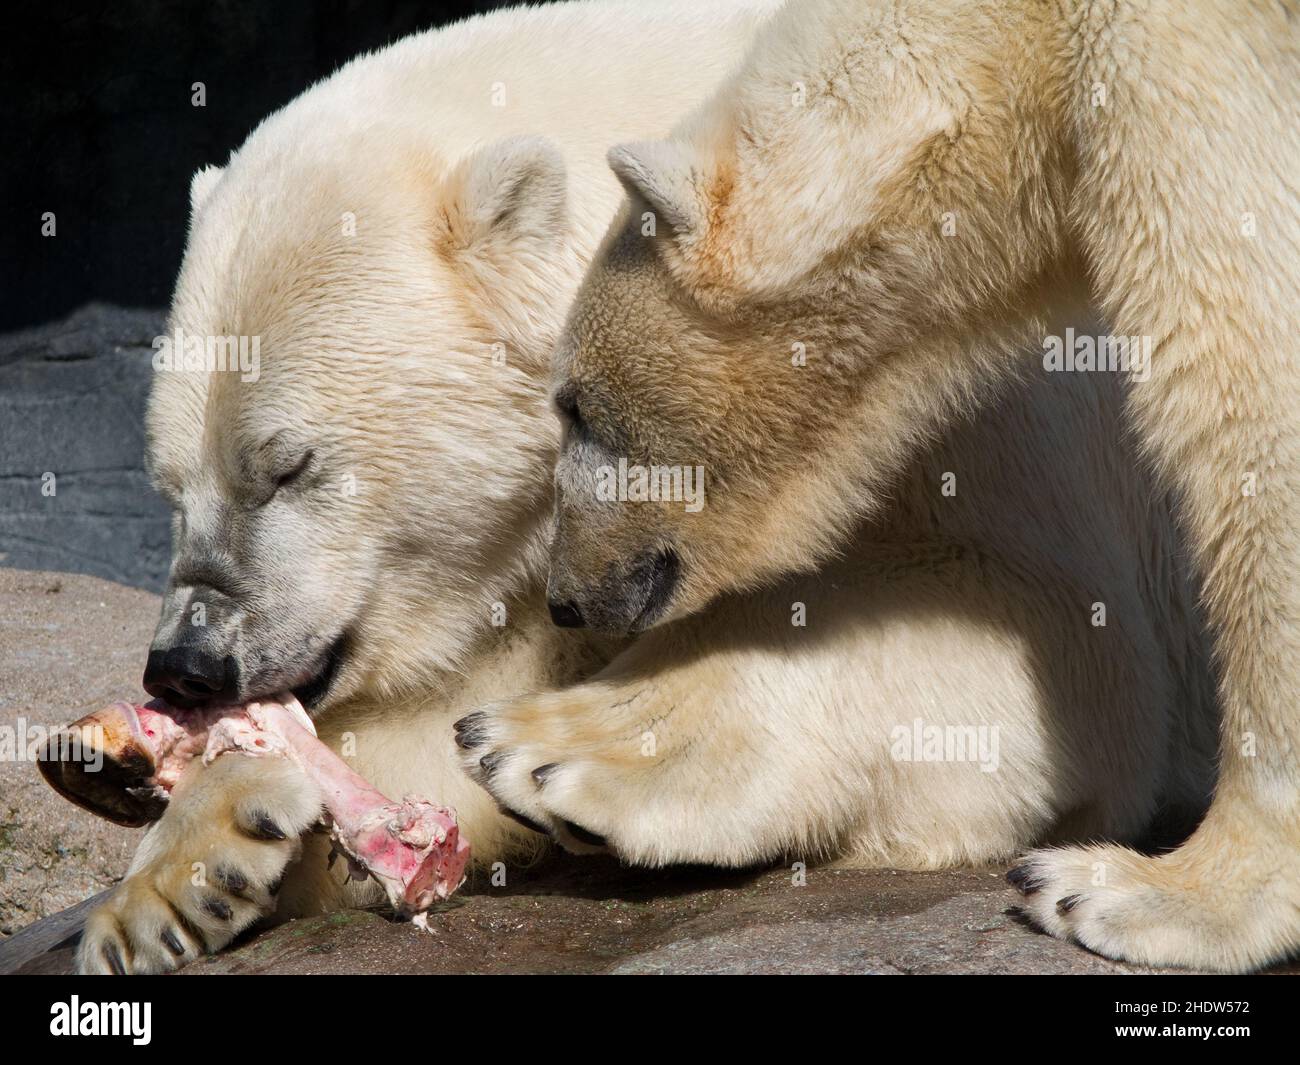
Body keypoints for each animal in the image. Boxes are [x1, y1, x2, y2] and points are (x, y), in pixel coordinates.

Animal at [466, 0, 1300, 972]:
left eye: (577, 406)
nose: (565, 597)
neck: (1027, 46)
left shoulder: (1181, 70)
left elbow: (1247, 403)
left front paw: (1140, 889)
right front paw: (525, 735)